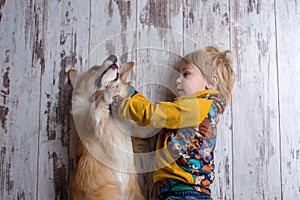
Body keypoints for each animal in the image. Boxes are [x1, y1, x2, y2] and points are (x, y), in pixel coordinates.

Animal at [67, 55, 144, 200]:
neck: (111, 115)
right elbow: (97, 105)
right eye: (94, 68)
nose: (114, 56)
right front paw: (110, 90)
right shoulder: (93, 123)